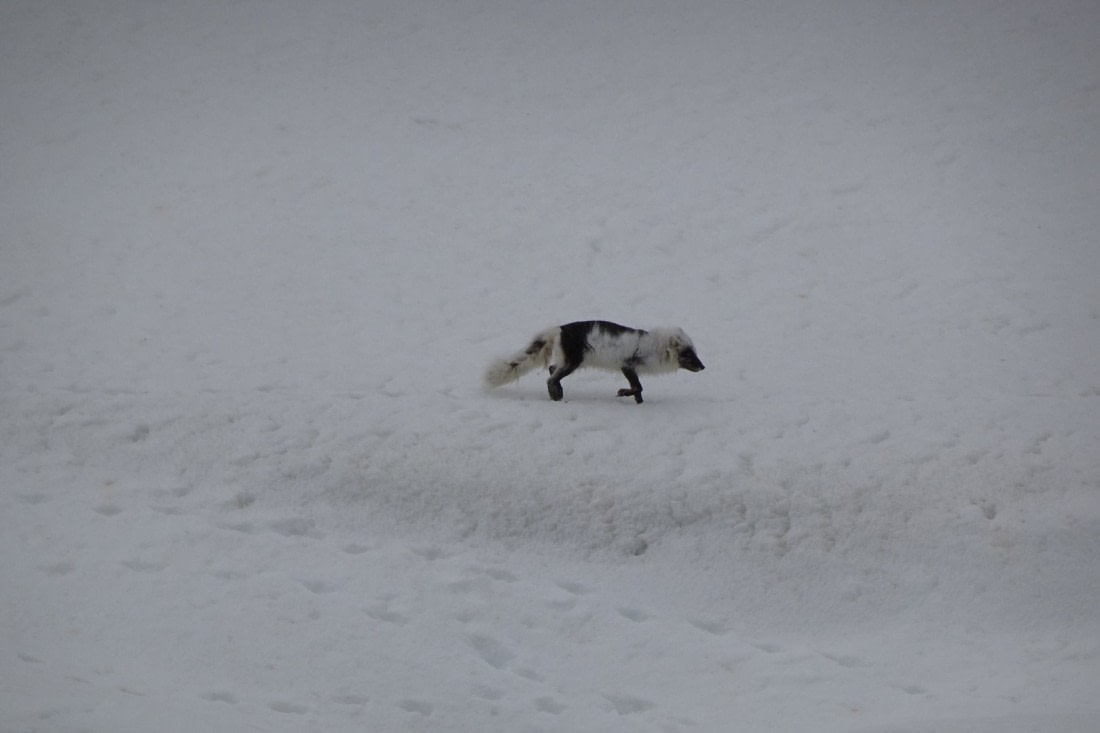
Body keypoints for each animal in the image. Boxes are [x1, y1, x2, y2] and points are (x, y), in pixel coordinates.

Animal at [483, 320, 704, 403]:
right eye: (688, 354)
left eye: (695, 352)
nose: (703, 366)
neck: (654, 347)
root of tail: (559, 329)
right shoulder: (627, 365)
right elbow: (638, 387)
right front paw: (623, 393)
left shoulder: (630, 368)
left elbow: (639, 389)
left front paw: (639, 403)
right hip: (573, 361)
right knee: (551, 377)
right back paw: (556, 396)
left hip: (567, 361)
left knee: (552, 369)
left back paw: (559, 392)